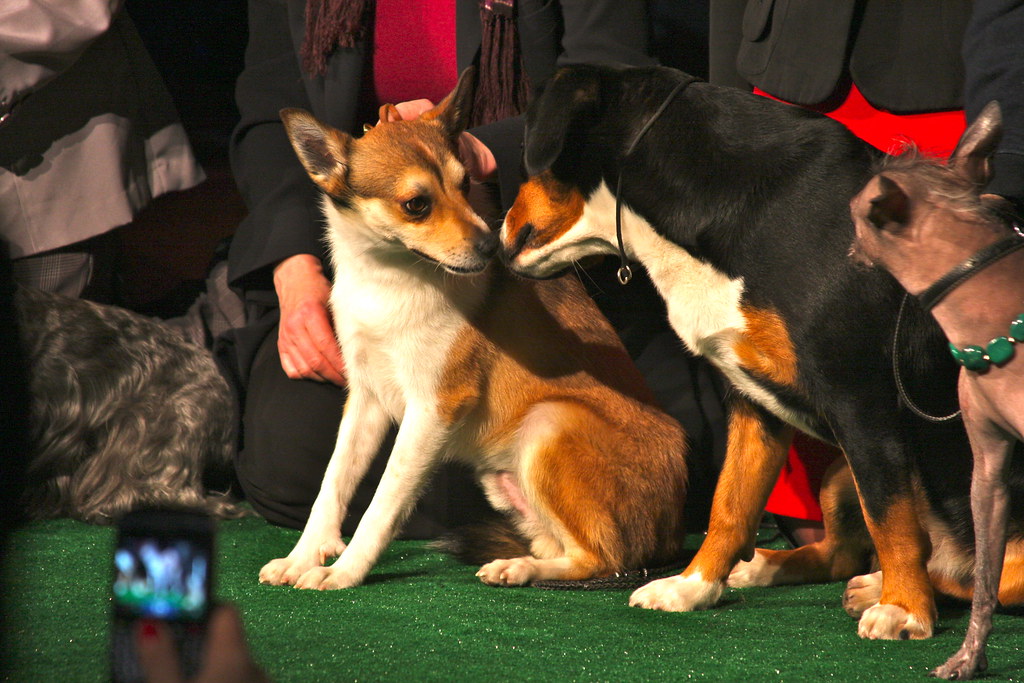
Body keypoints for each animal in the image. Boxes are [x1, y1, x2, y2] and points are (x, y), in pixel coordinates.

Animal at [497, 62, 1024, 643]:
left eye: (524, 151)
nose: (499, 226)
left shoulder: (861, 402)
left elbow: (893, 519)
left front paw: (904, 609)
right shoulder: (751, 399)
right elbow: (731, 504)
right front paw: (692, 586)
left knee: (979, 578)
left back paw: (882, 588)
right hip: (837, 474)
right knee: (844, 555)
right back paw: (775, 568)